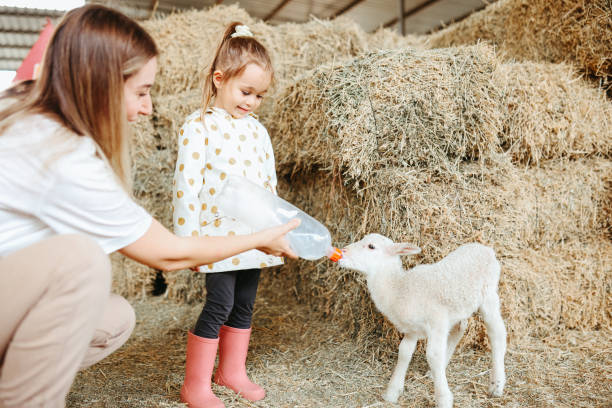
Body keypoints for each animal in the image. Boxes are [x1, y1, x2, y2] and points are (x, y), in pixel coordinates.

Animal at [338, 234, 504, 406]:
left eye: (371, 246)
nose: (342, 252)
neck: (399, 289)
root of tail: (486, 249)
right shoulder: (412, 329)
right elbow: (404, 352)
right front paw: (392, 392)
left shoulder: (437, 321)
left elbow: (433, 356)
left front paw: (443, 398)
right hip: (458, 307)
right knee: (460, 327)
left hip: (489, 294)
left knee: (497, 333)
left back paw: (496, 384)